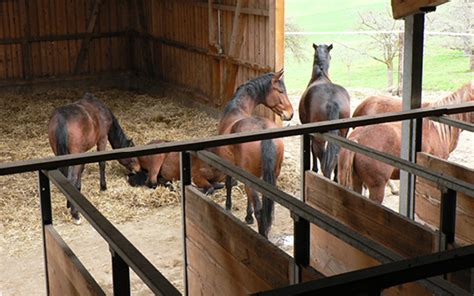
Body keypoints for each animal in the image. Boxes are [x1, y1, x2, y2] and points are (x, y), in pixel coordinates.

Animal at [48, 93, 141, 223]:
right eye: (133, 157)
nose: (138, 169)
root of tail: (62, 119)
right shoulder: (102, 139)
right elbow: (101, 163)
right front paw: (103, 186)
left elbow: (81, 170)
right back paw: (75, 214)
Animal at [218, 69, 292, 238]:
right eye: (280, 91)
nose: (290, 113)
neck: (236, 109)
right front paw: (248, 216)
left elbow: (229, 184)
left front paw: (228, 207)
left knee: (260, 208)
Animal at [300, 42, 352, 179]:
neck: (320, 75)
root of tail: (332, 102)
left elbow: (311, 150)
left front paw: (314, 168)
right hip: (343, 134)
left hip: (320, 140)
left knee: (323, 160)